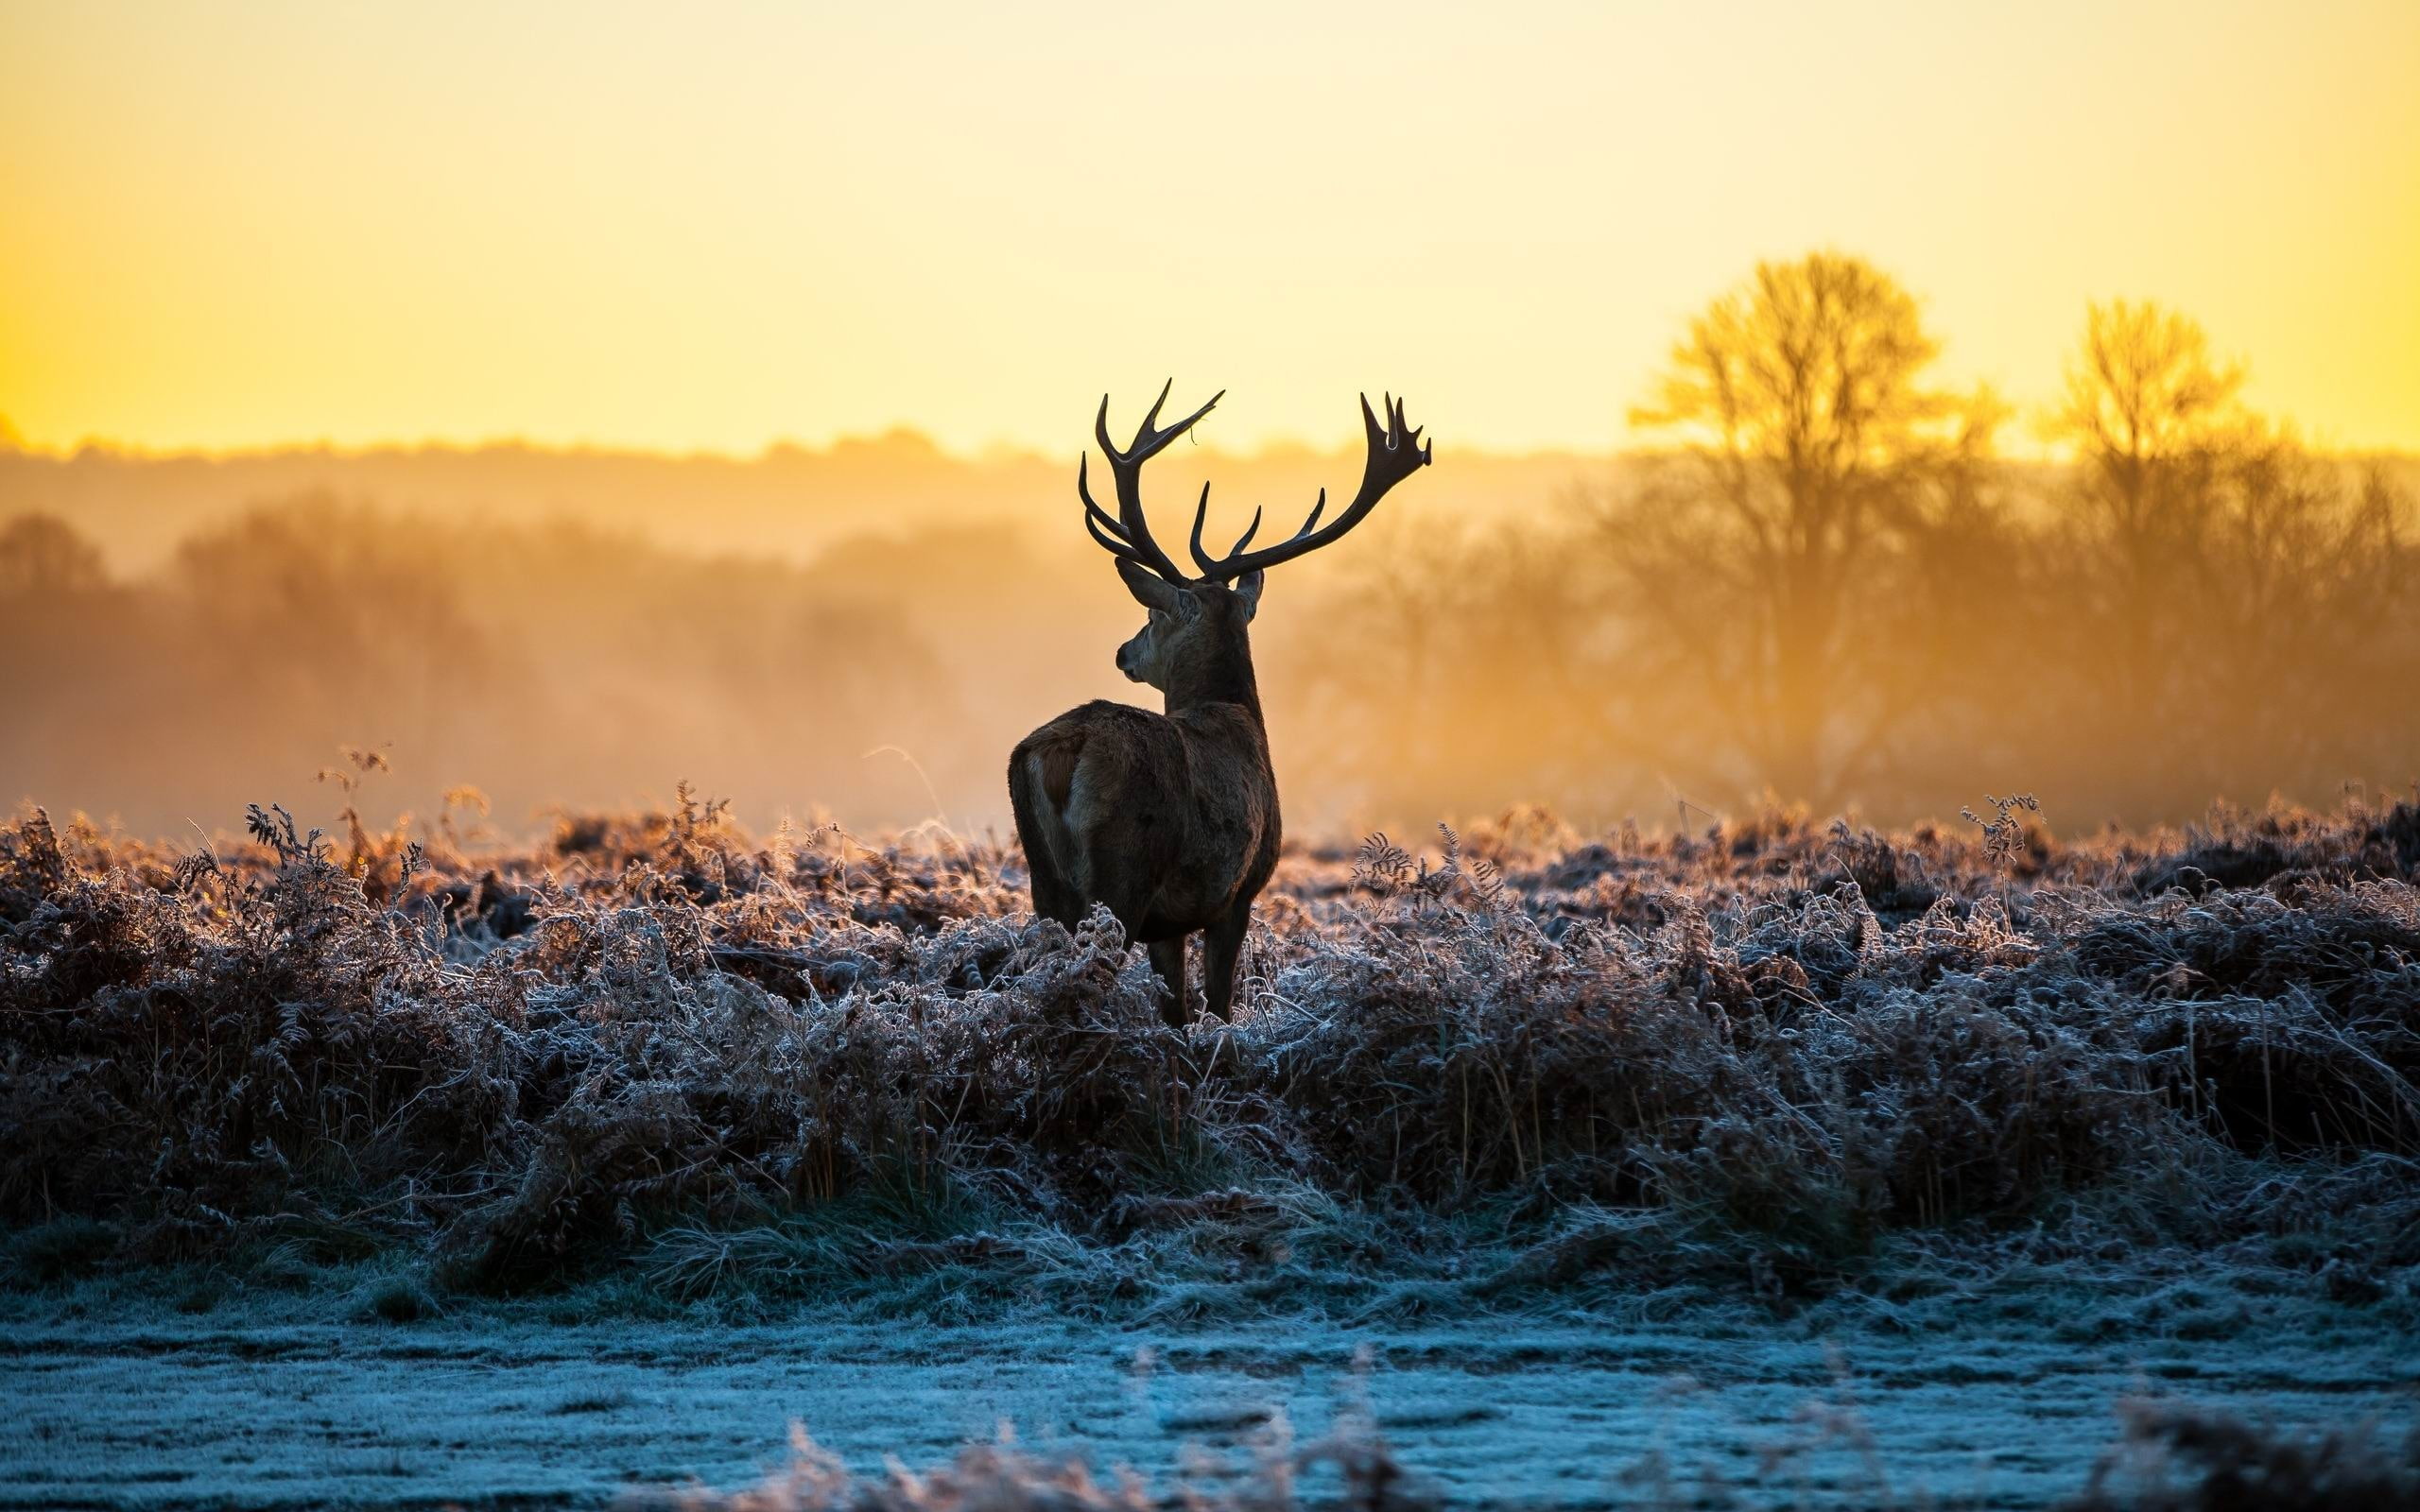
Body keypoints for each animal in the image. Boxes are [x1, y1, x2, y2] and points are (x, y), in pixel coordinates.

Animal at [1009, 383, 1433, 1026]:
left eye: (1152, 614)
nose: (1123, 651)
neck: (1238, 715)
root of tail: (1064, 751)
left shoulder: (1172, 921)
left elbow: (1177, 1010)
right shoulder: (1238, 891)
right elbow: (1218, 1005)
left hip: (1046, 883)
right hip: (1124, 873)